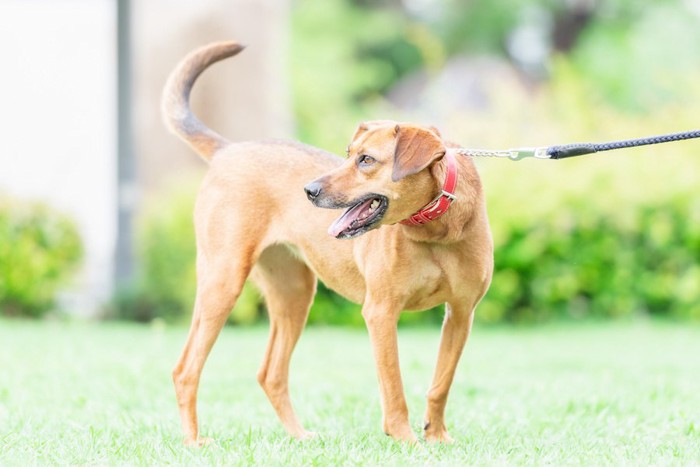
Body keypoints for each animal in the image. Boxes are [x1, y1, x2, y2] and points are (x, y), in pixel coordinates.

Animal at [163, 42, 492, 448]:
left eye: (366, 160)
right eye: (348, 153)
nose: (309, 190)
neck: (434, 230)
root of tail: (229, 150)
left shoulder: (461, 314)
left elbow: (440, 384)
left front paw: (437, 436)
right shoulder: (381, 312)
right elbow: (394, 386)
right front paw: (405, 438)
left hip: (294, 294)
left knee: (270, 373)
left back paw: (299, 436)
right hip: (222, 282)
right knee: (186, 369)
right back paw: (193, 440)